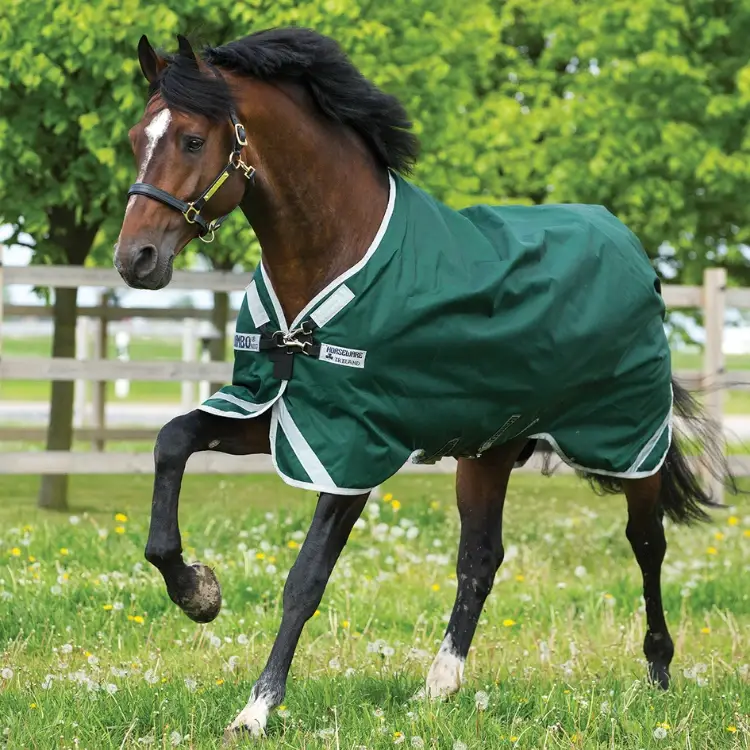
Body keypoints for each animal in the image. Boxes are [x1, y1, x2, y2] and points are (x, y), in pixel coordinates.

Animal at [113, 29, 733, 741]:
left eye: (192, 140)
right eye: (135, 137)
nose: (135, 259)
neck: (336, 252)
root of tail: (633, 251)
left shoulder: (351, 449)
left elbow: (305, 579)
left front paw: (257, 708)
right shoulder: (279, 413)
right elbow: (171, 441)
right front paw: (198, 592)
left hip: (628, 442)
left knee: (647, 542)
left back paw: (658, 672)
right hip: (488, 450)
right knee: (481, 558)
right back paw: (439, 685)